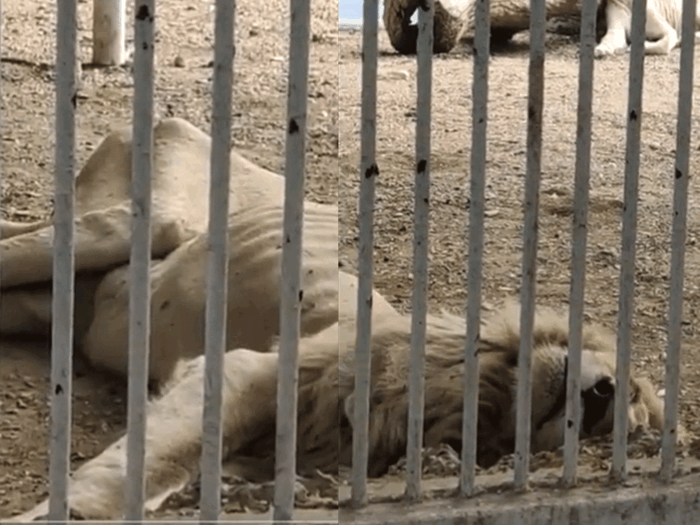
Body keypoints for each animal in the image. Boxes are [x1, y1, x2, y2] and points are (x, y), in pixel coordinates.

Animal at [9, 270, 672, 520]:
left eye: (629, 418)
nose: (604, 395)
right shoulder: (248, 371)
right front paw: (67, 510)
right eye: (632, 390)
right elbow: (162, 455)